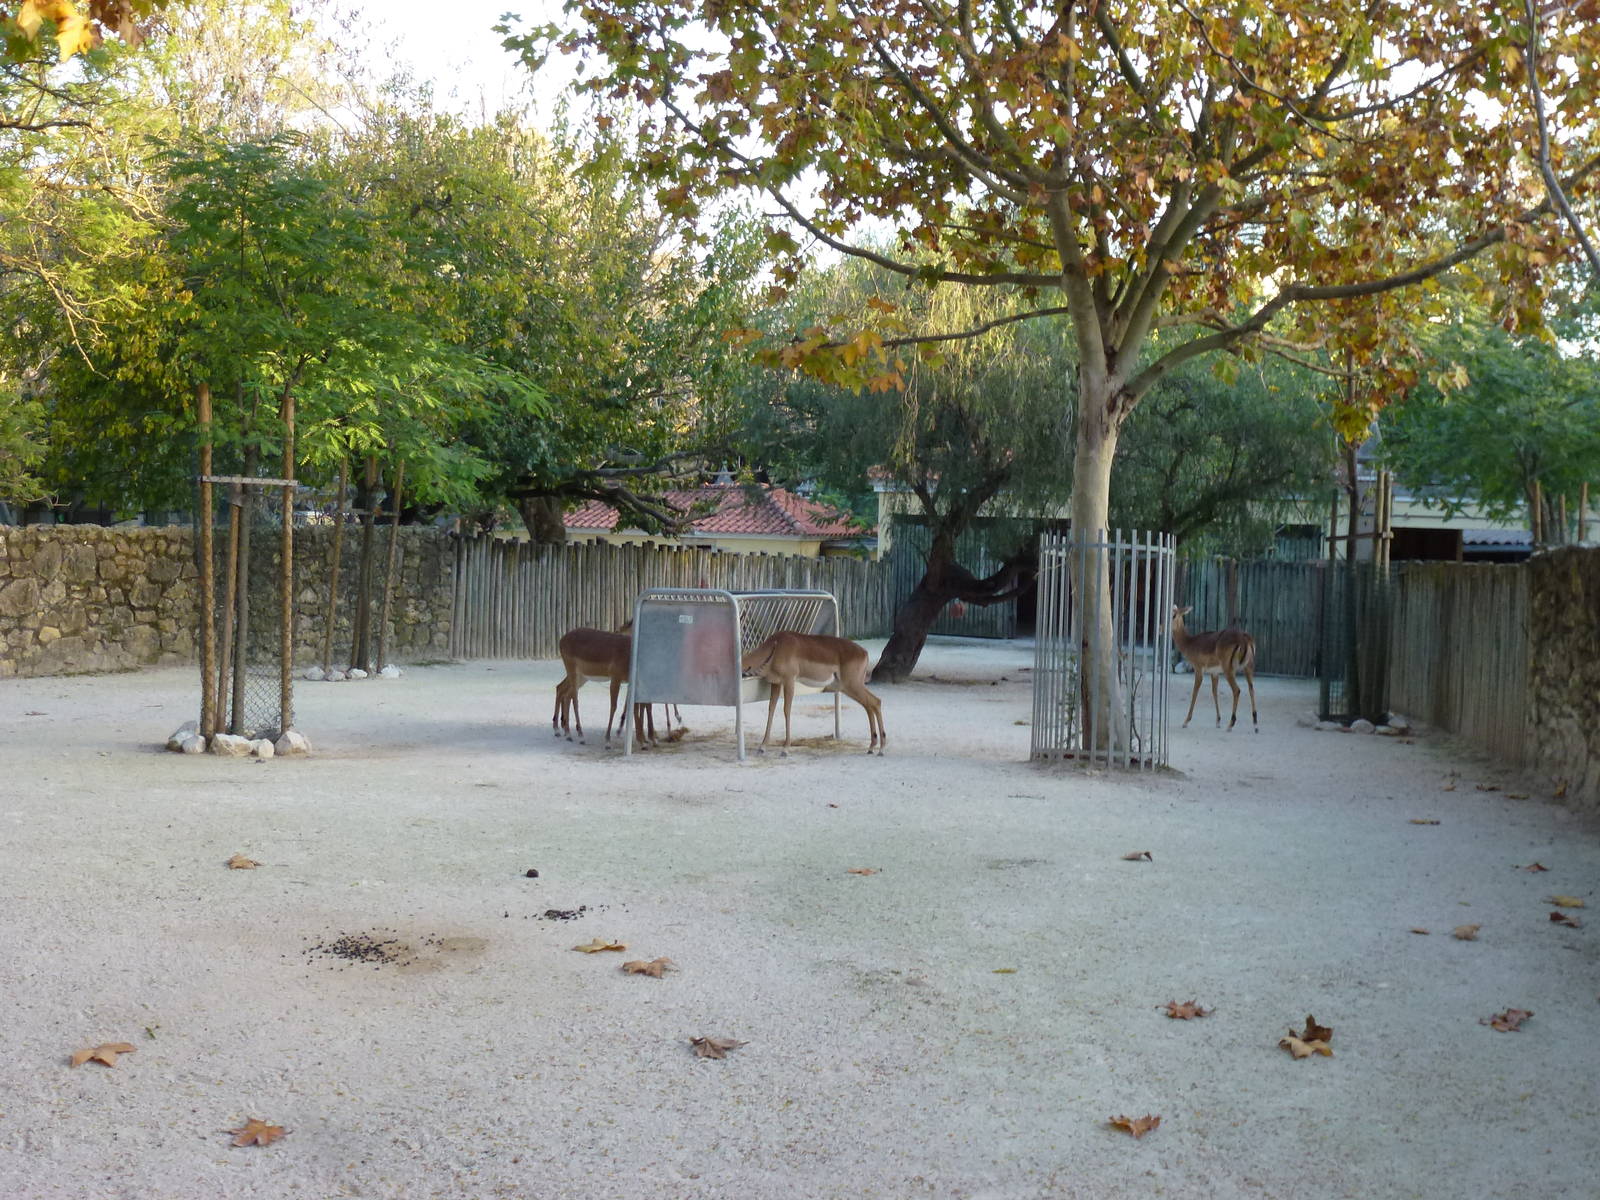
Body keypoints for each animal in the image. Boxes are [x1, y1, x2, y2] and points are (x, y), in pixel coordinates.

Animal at [740, 632, 886, 755]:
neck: (777, 646)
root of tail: (864, 652)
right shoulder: (775, 683)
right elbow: (771, 709)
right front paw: (762, 747)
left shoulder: (789, 681)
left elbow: (787, 710)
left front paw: (785, 749)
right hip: (850, 688)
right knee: (869, 705)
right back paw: (872, 747)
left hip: (852, 685)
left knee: (876, 702)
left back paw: (881, 749)